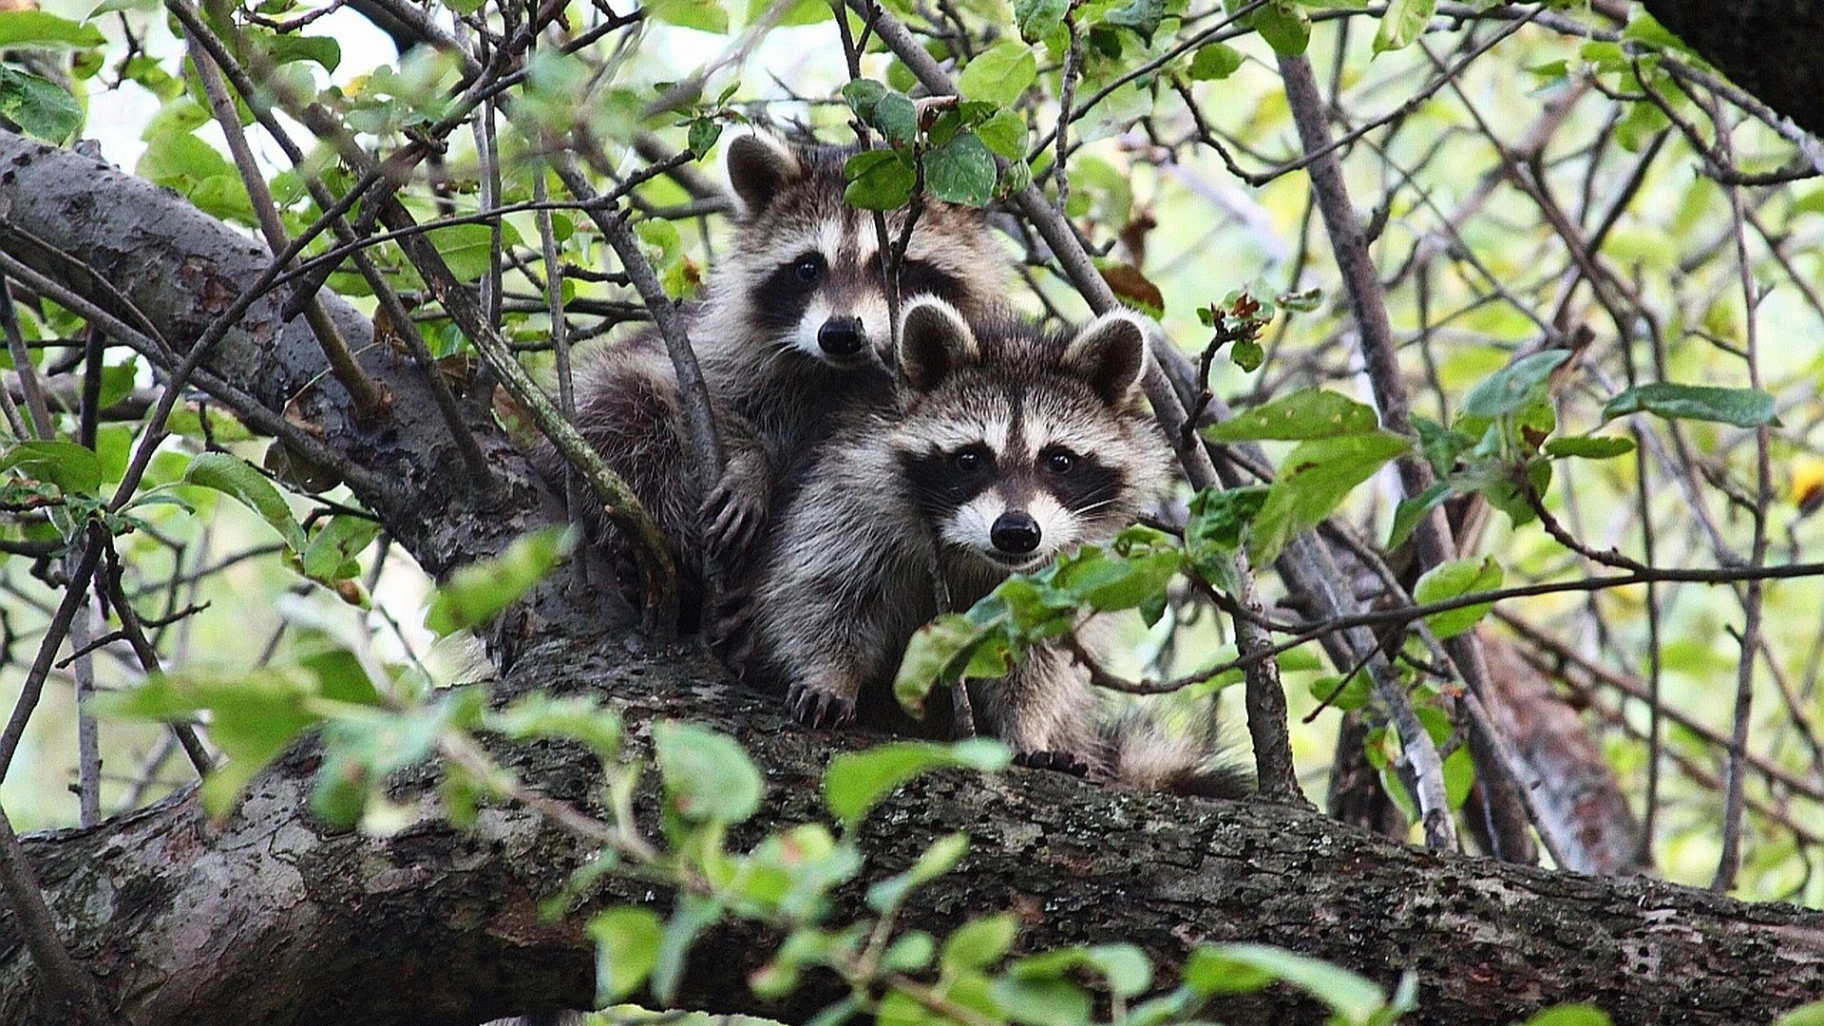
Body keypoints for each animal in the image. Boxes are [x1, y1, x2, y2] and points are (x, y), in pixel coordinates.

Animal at [548, 133, 1010, 618]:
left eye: (895, 267)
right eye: (808, 268)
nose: (840, 335)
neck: (841, 373)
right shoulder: (713, 348)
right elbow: (689, 393)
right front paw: (750, 461)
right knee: (622, 406)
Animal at [742, 296, 1246, 793]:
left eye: (1059, 460)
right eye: (970, 459)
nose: (1016, 532)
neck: (974, 554)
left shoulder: (1067, 568)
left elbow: (1040, 657)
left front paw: (1026, 727)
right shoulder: (852, 493)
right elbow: (823, 590)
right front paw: (829, 673)